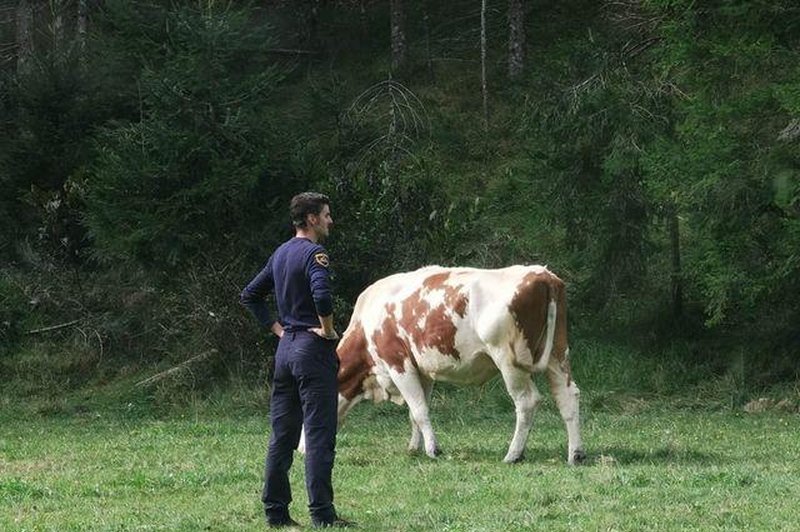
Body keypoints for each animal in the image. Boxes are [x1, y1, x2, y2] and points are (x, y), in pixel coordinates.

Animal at [300, 266, 588, 466]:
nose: (301, 449)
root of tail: (543, 275)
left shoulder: (398, 363)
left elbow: (419, 410)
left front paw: (433, 450)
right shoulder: (421, 370)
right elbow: (415, 412)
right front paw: (414, 447)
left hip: (509, 361)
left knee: (526, 402)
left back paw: (513, 454)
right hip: (557, 355)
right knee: (567, 397)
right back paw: (575, 454)